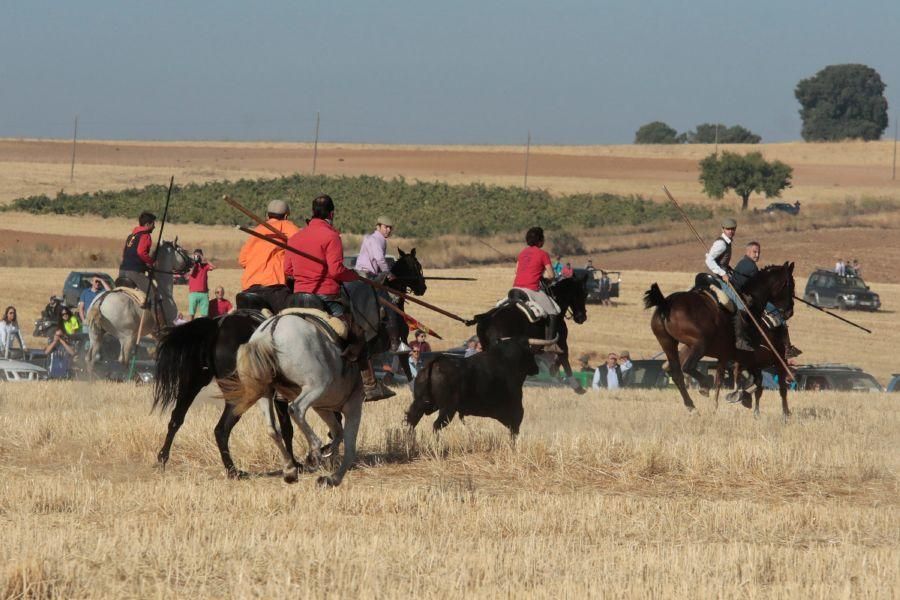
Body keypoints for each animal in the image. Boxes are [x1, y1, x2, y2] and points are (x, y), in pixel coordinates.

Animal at [227, 314, 364, 488]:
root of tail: (270, 330)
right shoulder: (353, 403)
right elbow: (349, 447)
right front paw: (333, 477)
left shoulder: (323, 407)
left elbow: (338, 432)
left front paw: (329, 462)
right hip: (316, 386)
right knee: (296, 409)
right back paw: (314, 451)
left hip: (265, 393)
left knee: (272, 429)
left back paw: (290, 470)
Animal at [648, 264, 796, 418]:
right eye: (790, 284)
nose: (789, 311)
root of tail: (666, 303)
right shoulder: (744, 357)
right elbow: (733, 380)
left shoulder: (728, 356)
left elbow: (730, 380)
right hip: (699, 344)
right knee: (687, 367)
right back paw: (705, 385)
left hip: (668, 343)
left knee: (677, 374)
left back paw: (692, 406)